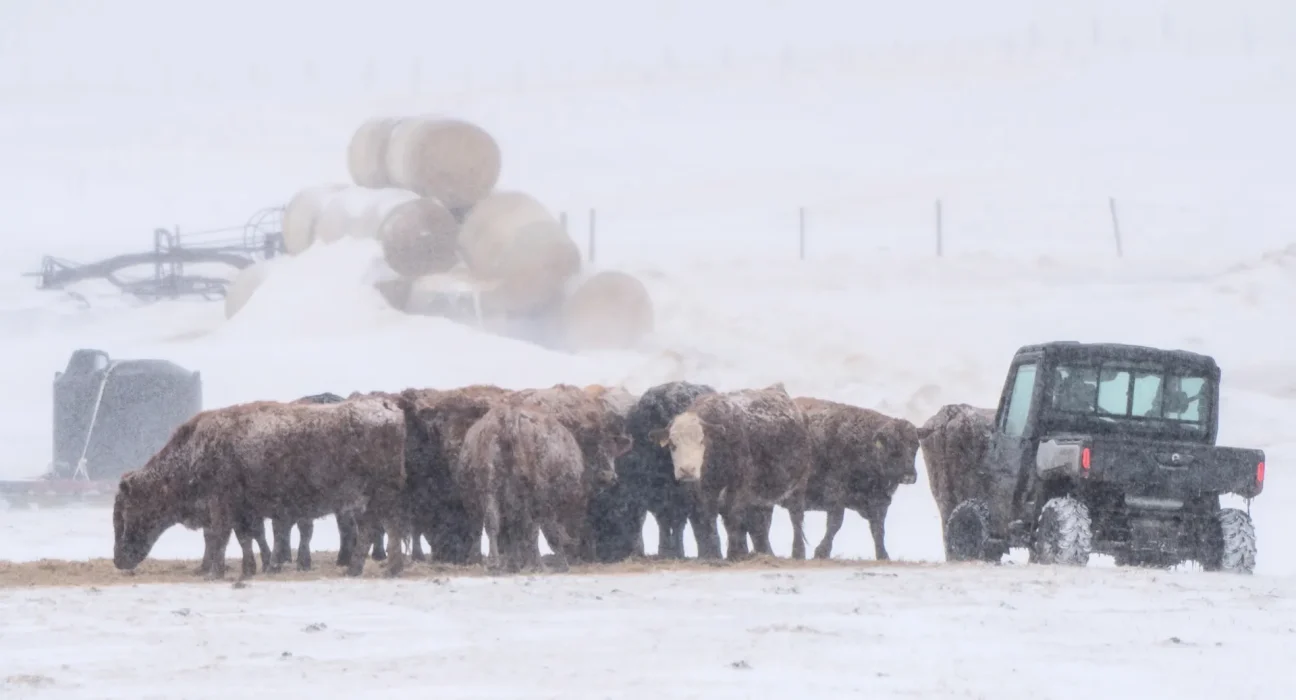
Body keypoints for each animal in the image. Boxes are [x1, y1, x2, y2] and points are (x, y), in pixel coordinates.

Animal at [112, 396, 410, 579]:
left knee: (385, 528)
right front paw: (251, 568)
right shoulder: (245, 511)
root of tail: (389, 407)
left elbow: (221, 537)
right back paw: (362, 569)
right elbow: (246, 538)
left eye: (125, 514)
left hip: (377, 497)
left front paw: (216, 572)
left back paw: (386, 569)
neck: (196, 452)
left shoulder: (221, 505)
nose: (119, 560)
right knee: (374, 530)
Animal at [455, 403, 617, 573]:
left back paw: (496, 563)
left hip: (488, 489)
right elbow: (549, 530)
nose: (610, 476)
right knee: (525, 527)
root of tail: (508, 417)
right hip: (527, 494)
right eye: (596, 447)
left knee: (492, 523)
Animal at [648, 383, 813, 561]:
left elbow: (732, 515)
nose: (687, 470)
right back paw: (764, 552)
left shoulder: (739, 484)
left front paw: (735, 552)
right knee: (760, 524)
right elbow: (709, 518)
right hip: (762, 495)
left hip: (798, 485)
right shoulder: (705, 490)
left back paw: (798, 553)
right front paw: (714, 554)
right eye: (672, 444)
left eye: (701, 441)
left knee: (796, 518)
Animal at [791, 397, 919, 560]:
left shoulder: (880, 503)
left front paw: (883, 555)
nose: (909, 476)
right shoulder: (836, 497)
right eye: (894, 447)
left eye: (916, 446)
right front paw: (821, 552)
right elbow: (835, 523)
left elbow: (878, 530)